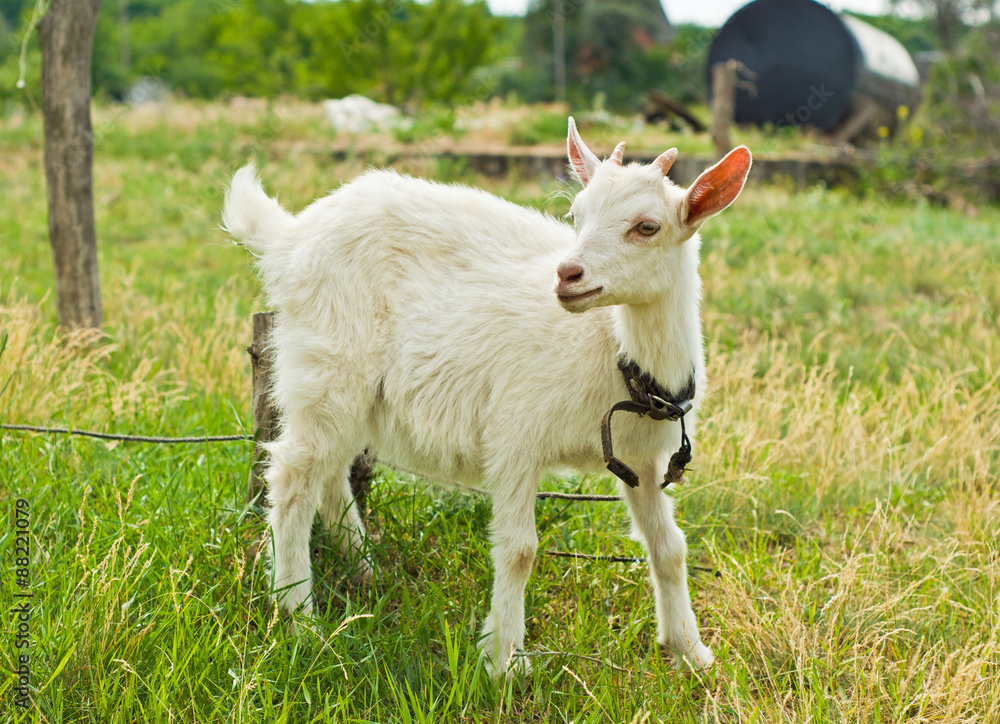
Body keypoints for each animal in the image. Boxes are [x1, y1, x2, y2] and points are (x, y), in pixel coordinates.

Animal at [223, 118, 751, 678]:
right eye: (576, 216)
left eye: (647, 227)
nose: (567, 274)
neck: (612, 350)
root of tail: (290, 239)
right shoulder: (515, 433)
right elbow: (519, 550)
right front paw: (503, 661)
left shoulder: (643, 461)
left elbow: (669, 547)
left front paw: (691, 652)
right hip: (326, 367)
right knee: (293, 478)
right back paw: (299, 615)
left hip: (353, 394)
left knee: (329, 474)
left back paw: (363, 568)